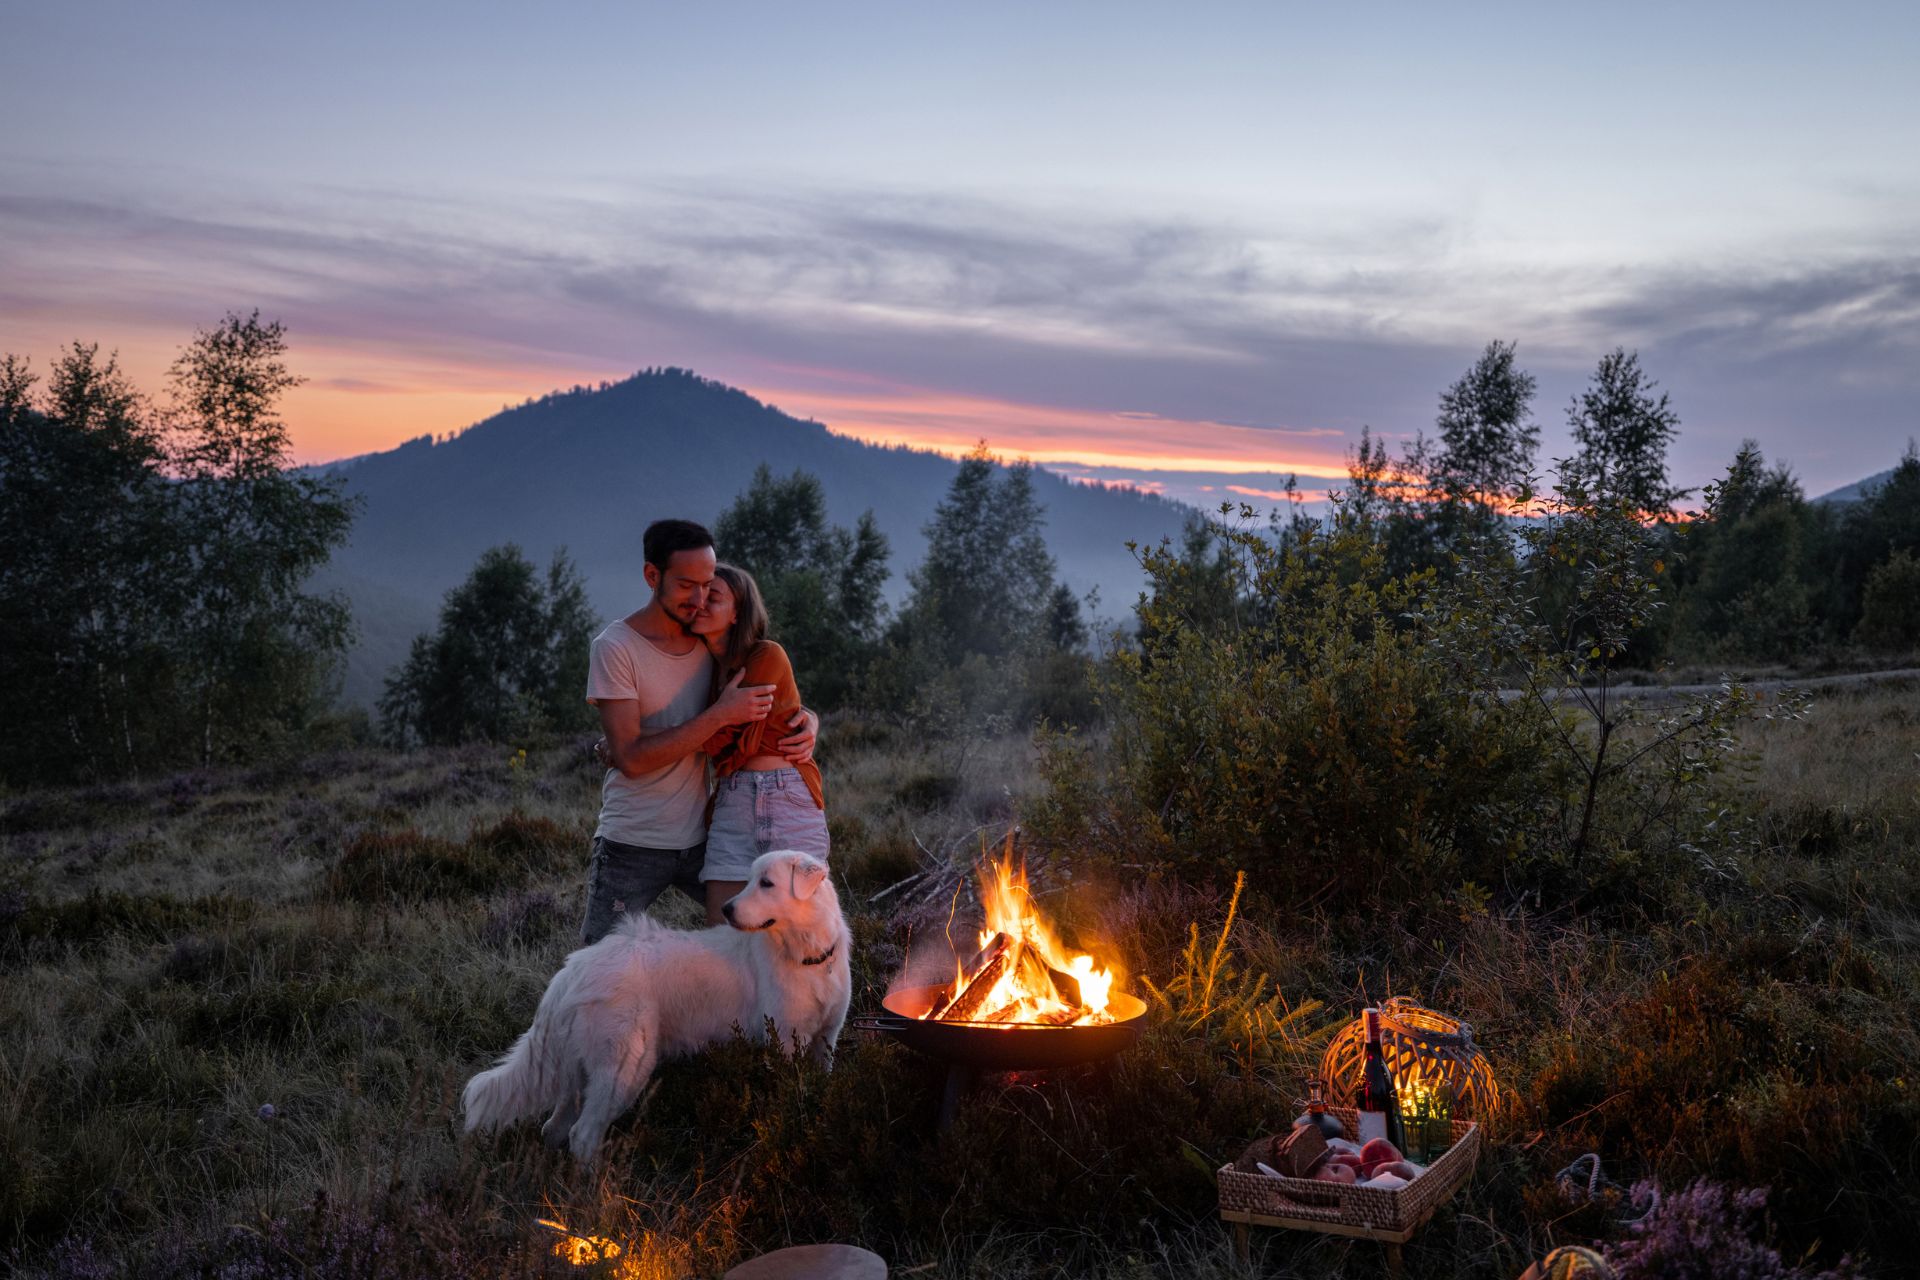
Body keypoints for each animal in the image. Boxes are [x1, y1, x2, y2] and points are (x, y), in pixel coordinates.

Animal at [456, 852, 848, 1159]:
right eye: (751, 880)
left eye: (766, 883)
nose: (726, 909)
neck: (807, 955)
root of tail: (573, 969)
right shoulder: (783, 1042)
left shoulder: (826, 1039)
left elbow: (823, 1081)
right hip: (626, 1066)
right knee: (582, 1135)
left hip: (585, 1066)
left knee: (555, 1126)